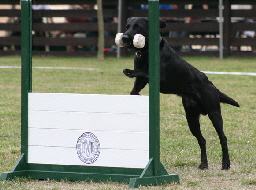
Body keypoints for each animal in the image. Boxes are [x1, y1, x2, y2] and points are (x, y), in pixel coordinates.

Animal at [120, 17, 240, 170]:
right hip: (191, 119)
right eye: (127, 26)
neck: (145, 51)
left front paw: (129, 71)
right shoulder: (140, 82)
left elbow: (141, 72)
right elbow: (136, 87)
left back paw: (226, 163)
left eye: (137, 27)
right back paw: (203, 164)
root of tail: (212, 85)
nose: (124, 37)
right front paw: (133, 95)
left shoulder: (160, 78)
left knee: (223, 138)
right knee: (202, 140)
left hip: (214, 113)